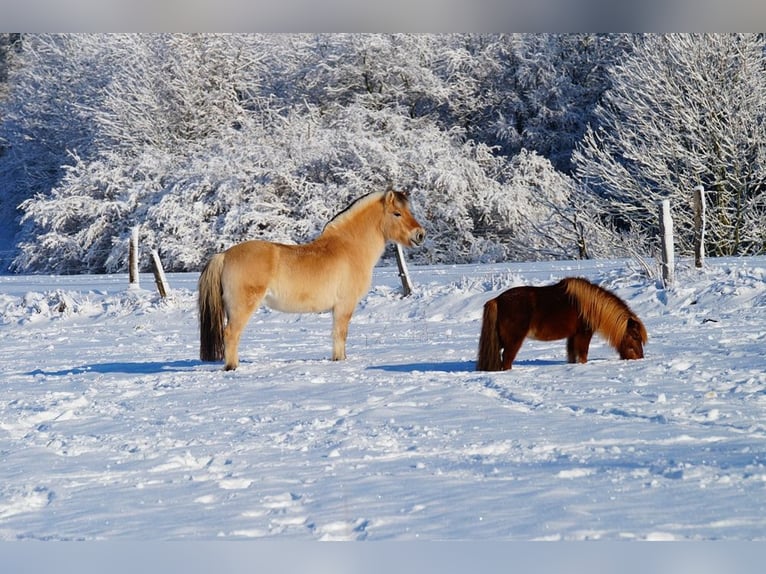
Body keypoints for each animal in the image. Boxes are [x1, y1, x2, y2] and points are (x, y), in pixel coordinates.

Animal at [198, 189, 426, 370]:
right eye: (397, 213)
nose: (420, 235)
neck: (349, 248)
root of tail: (224, 255)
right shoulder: (344, 306)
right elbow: (340, 335)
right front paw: (340, 361)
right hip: (242, 308)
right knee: (231, 334)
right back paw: (232, 367)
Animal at [476, 277, 647, 371]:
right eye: (635, 336)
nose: (639, 358)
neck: (590, 306)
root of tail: (497, 300)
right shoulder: (583, 334)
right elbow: (583, 355)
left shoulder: (572, 336)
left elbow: (572, 356)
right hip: (512, 341)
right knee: (507, 361)